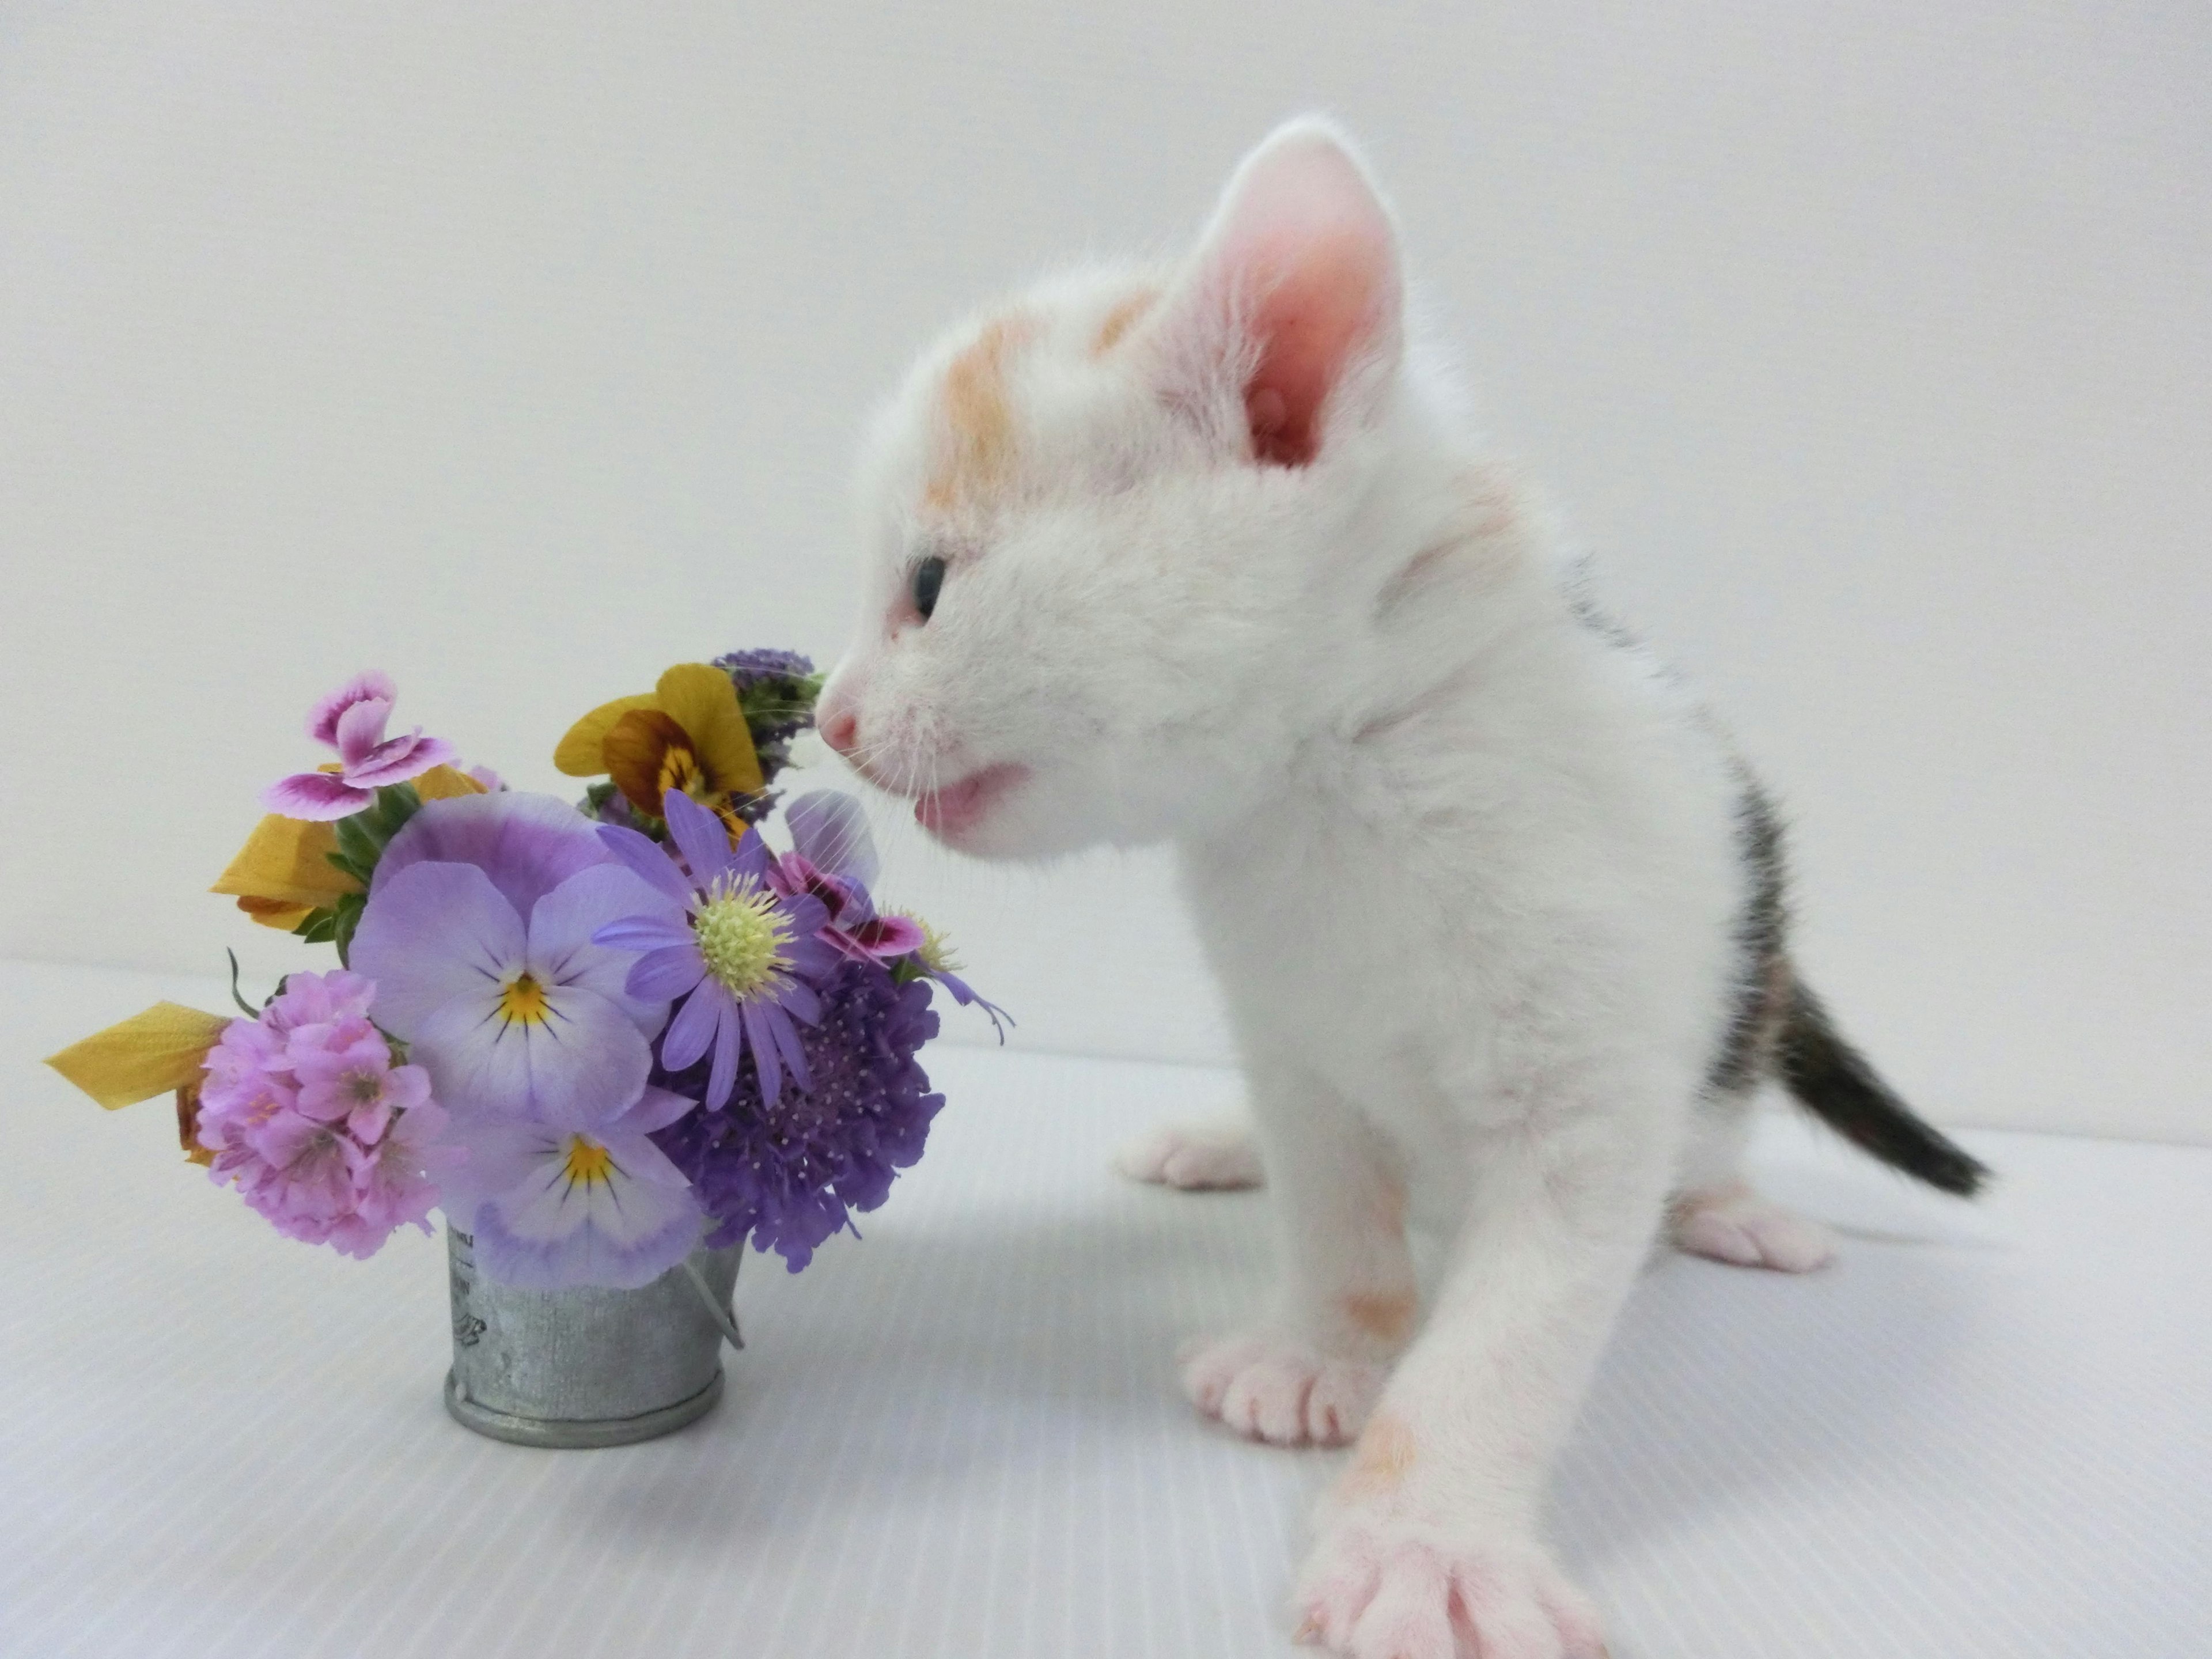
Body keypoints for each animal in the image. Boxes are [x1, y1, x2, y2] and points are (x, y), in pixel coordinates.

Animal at [818, 117, 1991, 1659]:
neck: (1332, 783)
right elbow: (1333, 1216)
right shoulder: (1293, 1038)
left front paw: (1427, 1540)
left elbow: (1502, 1345)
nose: (831, 716)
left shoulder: (1590, 1096)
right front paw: (1317, 1351)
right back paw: (1217, 1141)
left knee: (1708, 1139)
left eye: (928, 588)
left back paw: (1731, 1209)